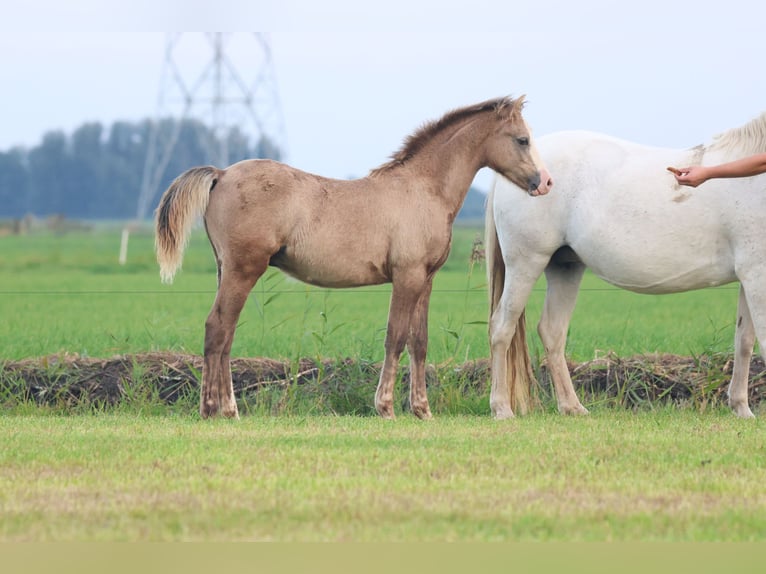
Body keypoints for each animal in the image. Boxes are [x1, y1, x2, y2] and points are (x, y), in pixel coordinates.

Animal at [154, 97, 544, 420]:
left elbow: (419, 341)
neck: (422, 189)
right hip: (243, 270)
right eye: (522, 139)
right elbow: (395, 337)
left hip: (227, 271)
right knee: (218, 329)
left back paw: (225, 408)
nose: (543, 182)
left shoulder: (426, 279)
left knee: (225, 333)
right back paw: (216, 410)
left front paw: (422, 410)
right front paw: (386, 407)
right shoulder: (407, 276)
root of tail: (221, 174)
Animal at [488, 111, 766, 418]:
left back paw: (573, 407)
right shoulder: (757, 275)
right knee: (502, 327)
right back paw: (501, 408)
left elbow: (744, 341)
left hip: (565, 267)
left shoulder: (750, 276)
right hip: (526, 262)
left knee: (552, 331)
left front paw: (741, 408)